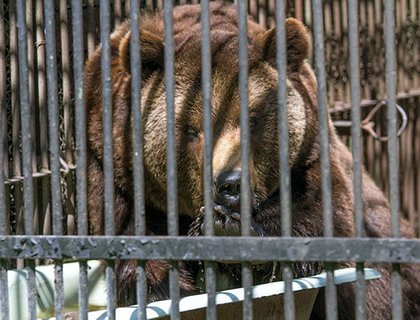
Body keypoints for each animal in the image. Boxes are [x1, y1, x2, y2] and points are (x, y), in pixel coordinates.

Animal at [83, 1, 418, 318]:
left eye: (253, 120)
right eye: (191, 129)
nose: (231, 184)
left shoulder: (310, 150)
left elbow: (324, 218)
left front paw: (233, 230)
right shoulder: (113, 161)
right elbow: (134, 245)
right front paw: (169, 283)